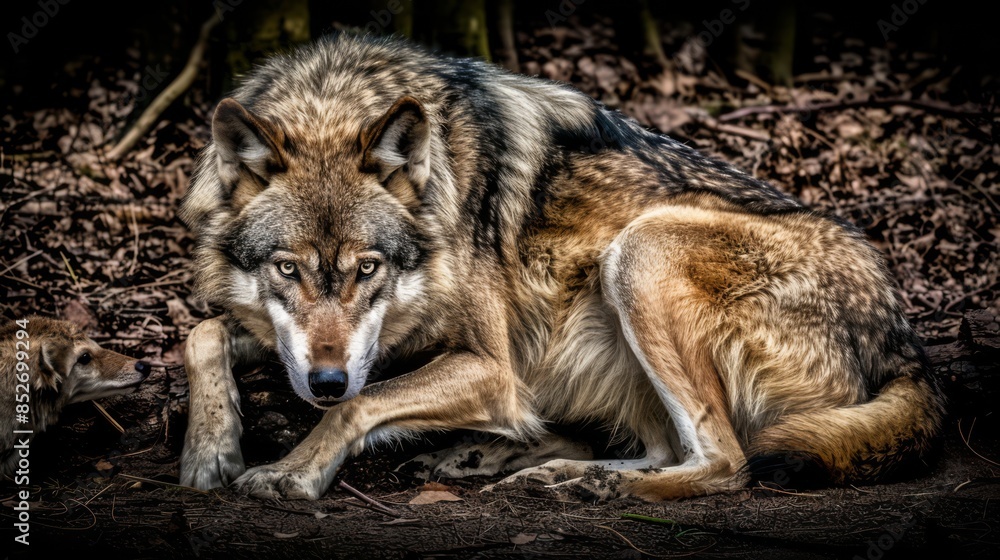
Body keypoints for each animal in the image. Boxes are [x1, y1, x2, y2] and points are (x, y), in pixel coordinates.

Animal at [178, 33, 945, 501]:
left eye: (368, 269)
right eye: (287, 269)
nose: (325, 380)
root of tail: (905, 340)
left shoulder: (493, 370)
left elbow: (360, 406)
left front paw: (291, 470)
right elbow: (202, 332)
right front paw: (211, 450)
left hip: (640, 251)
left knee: (726, 462)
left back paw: (588, 484)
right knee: (669, 448)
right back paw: (536, 469)